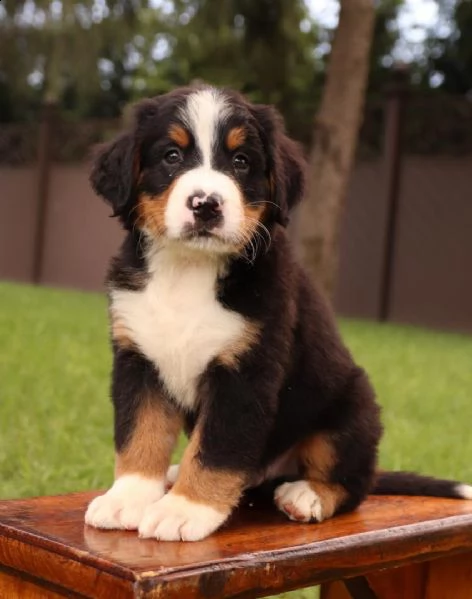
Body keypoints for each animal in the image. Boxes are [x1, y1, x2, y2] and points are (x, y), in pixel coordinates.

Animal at [85, 85, 472, 544]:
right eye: (171, 156)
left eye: (241, 161)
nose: (206, 204)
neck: (188, 270)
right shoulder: (138, 359)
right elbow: (139, 435)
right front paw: (127, 498)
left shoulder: (246, 372)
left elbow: (217, 449)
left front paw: (184, 510)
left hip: (353, 407)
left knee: (353, 482)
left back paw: (307, 495)